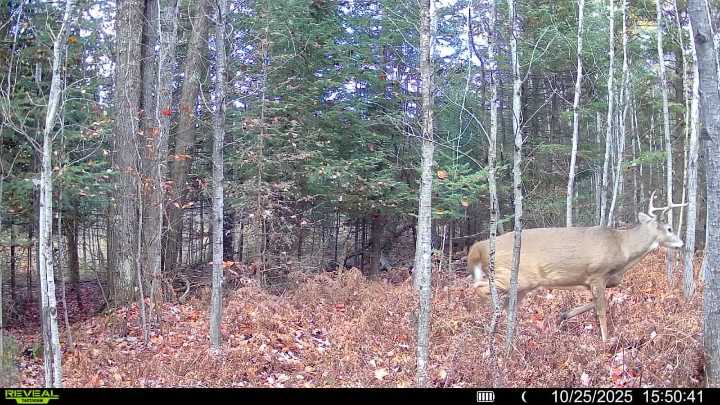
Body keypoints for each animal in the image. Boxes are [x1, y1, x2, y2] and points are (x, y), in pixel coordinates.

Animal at [466, 191, 686, 341]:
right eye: (669, 228)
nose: (682, 243)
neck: (623, 249)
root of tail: (480, 247)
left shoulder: (597, 280)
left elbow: (598, 302)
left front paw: (563, 315)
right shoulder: (597, 272)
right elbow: (602, 309)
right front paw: (606, 340)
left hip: (522, 285)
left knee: (506, 305)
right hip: (512, 276)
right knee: (479, 288)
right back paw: (490, 327)